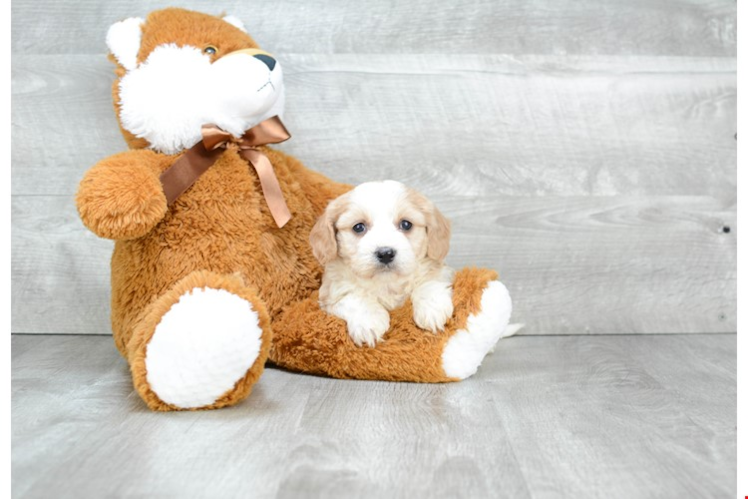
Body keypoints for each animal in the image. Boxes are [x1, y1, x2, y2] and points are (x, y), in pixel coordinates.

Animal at [306, 181, 452, 348]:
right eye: (358, 227)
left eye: (406, 224)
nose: (385, 253)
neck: (386, 284)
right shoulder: (330, 293)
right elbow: (353, 297)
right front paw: (368, 322)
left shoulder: (438, 268)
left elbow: (429, 280)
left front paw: (432, 309)